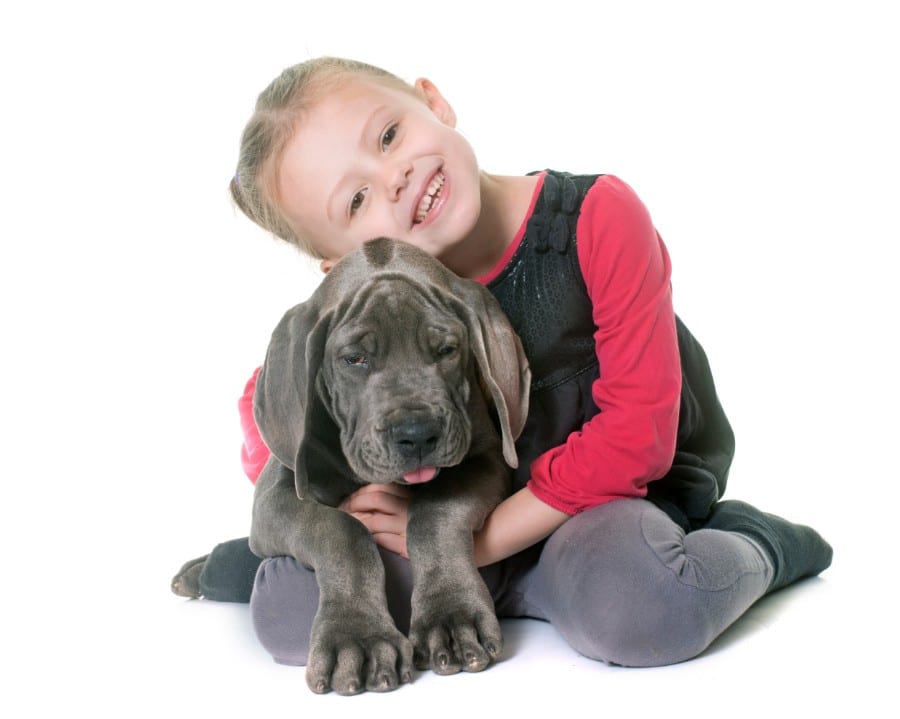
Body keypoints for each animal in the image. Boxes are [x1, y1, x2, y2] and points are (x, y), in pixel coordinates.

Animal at [248, 239, 528, 696]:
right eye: (354, 359)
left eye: (446, 350)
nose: (416, 434)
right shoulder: (275, 496)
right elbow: (340, 529)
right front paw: (356, 636)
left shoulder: (485, 456)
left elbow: (434, 510)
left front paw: (451, 615)